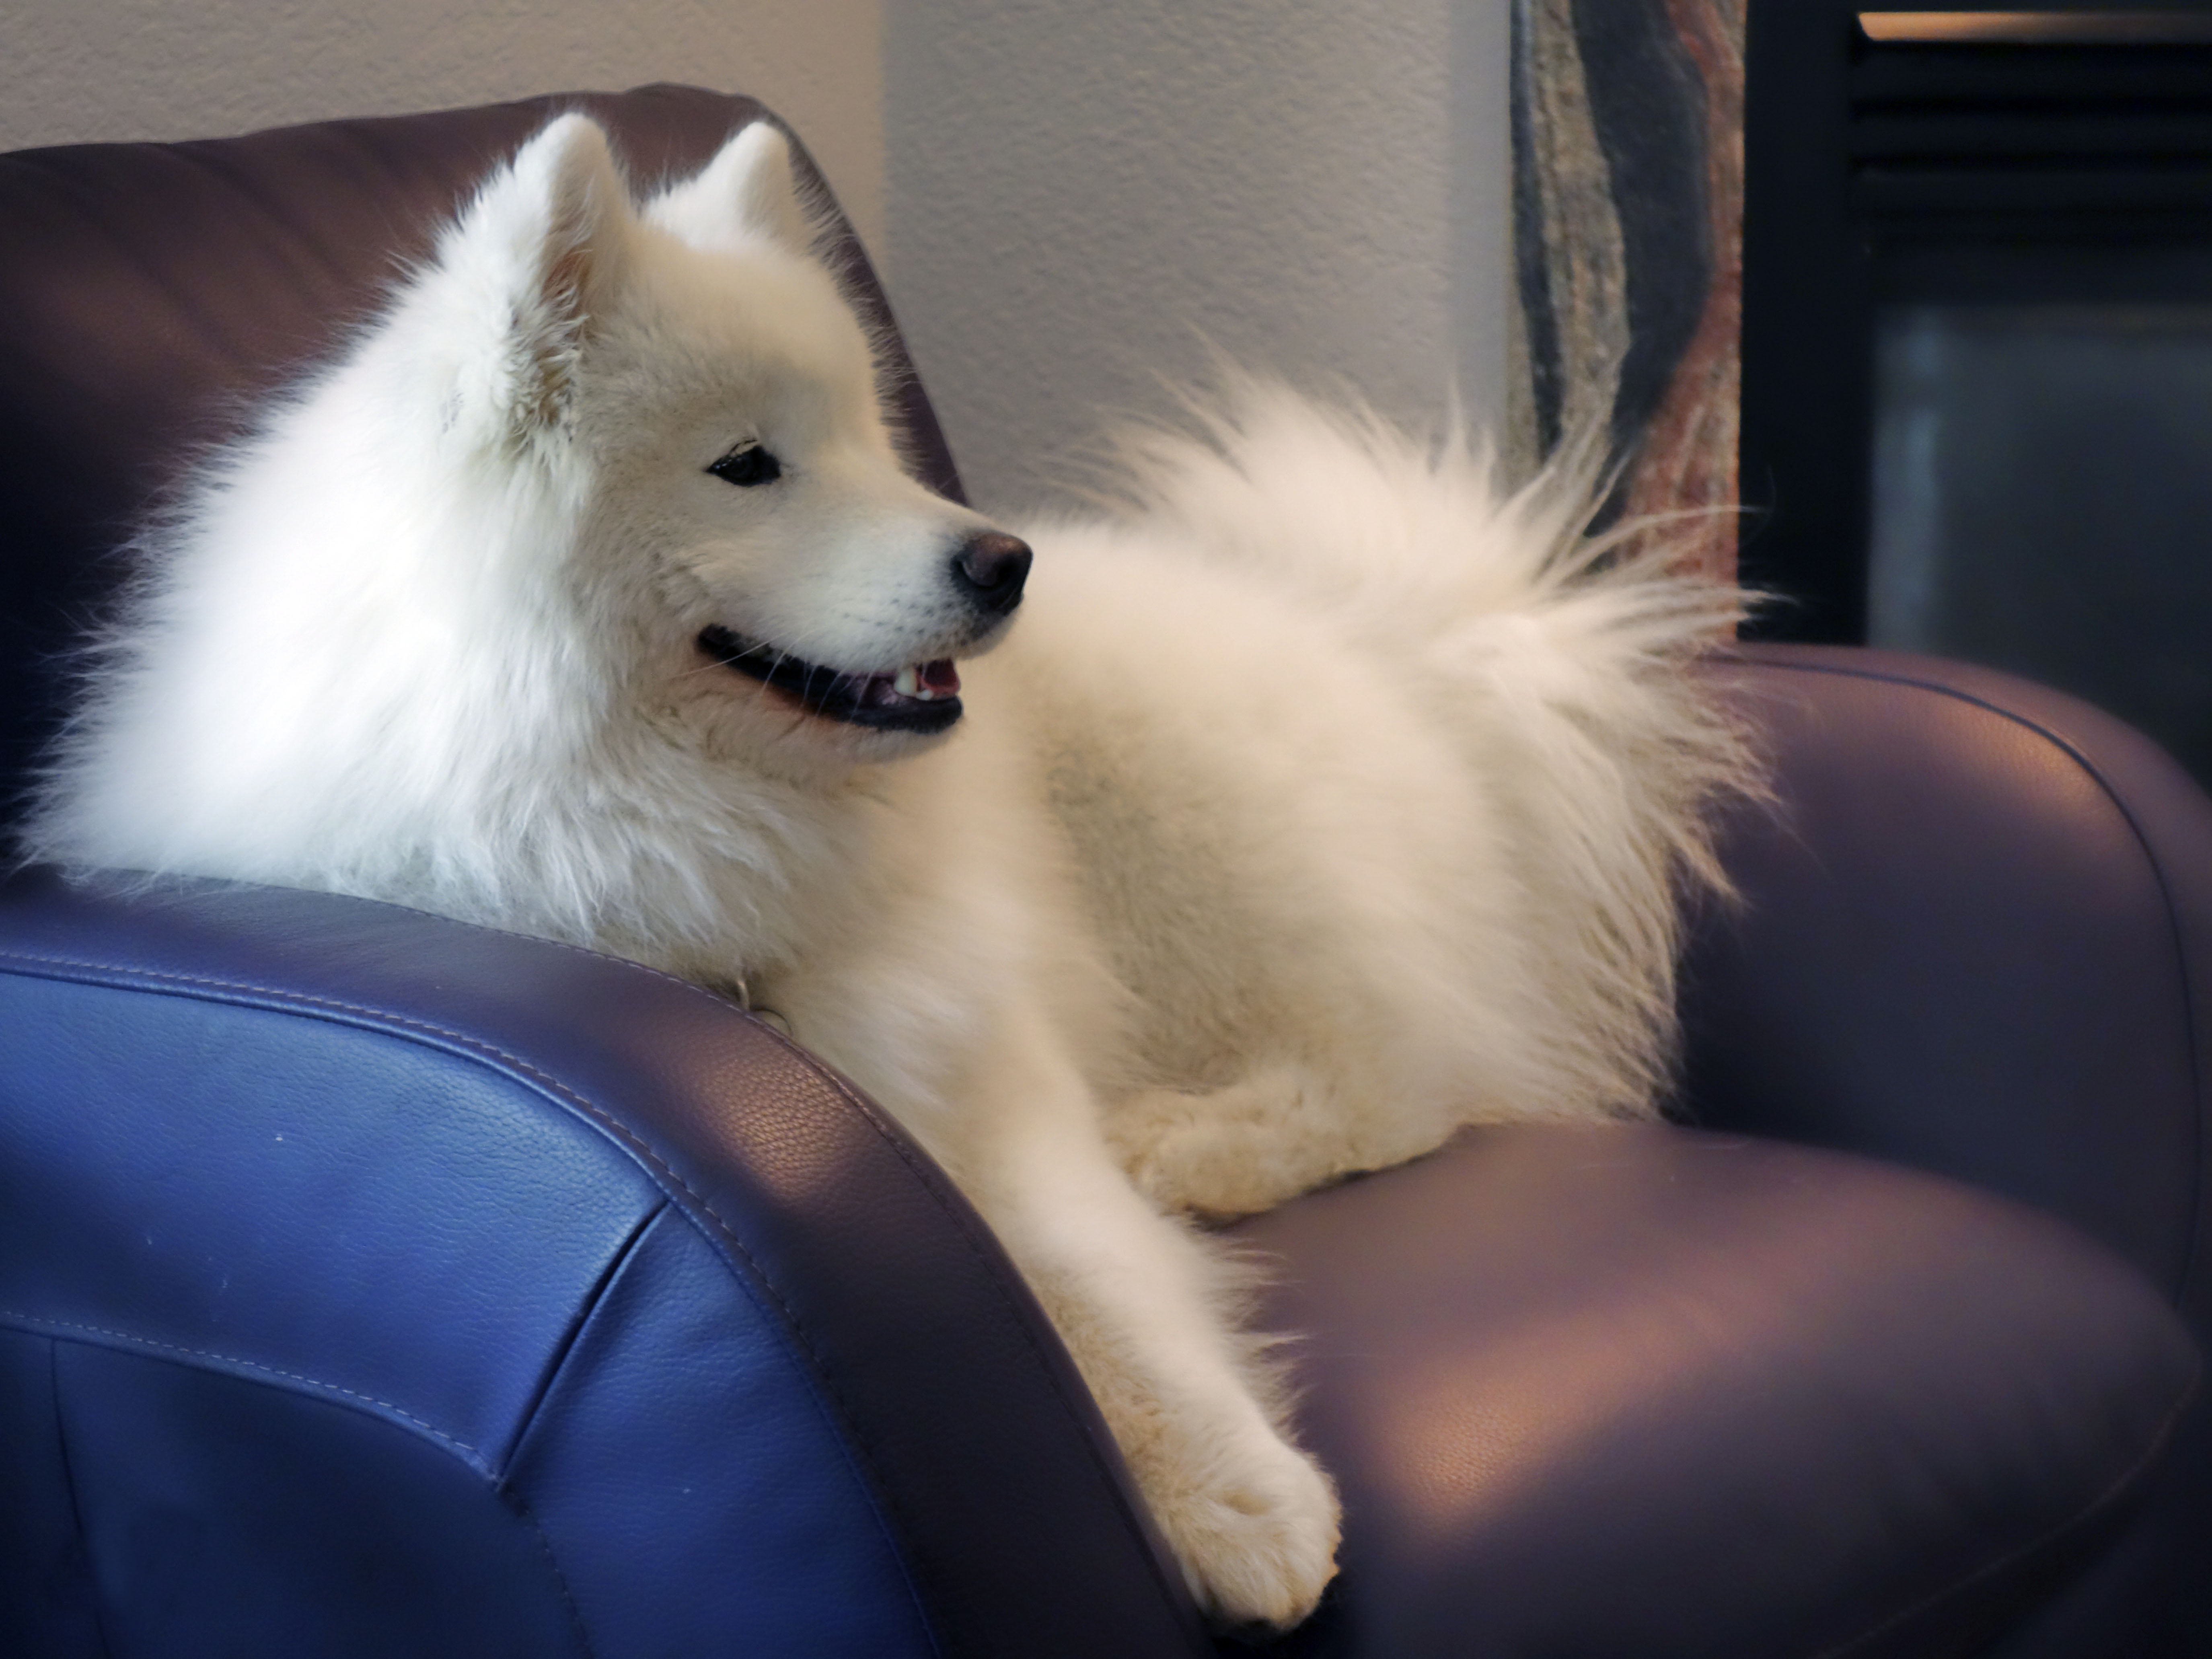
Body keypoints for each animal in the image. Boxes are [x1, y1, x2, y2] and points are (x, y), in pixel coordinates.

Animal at [13, 117, 1743, 1637]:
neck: (648, 812)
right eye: (747, 464)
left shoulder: (983, 1066)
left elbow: (1096, 1293)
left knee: (1402, 1079)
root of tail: (1406, 647)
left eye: (865, 436)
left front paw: (1233, 1492)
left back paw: (1188, 1143)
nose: (1002, 560)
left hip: (1194, 839)